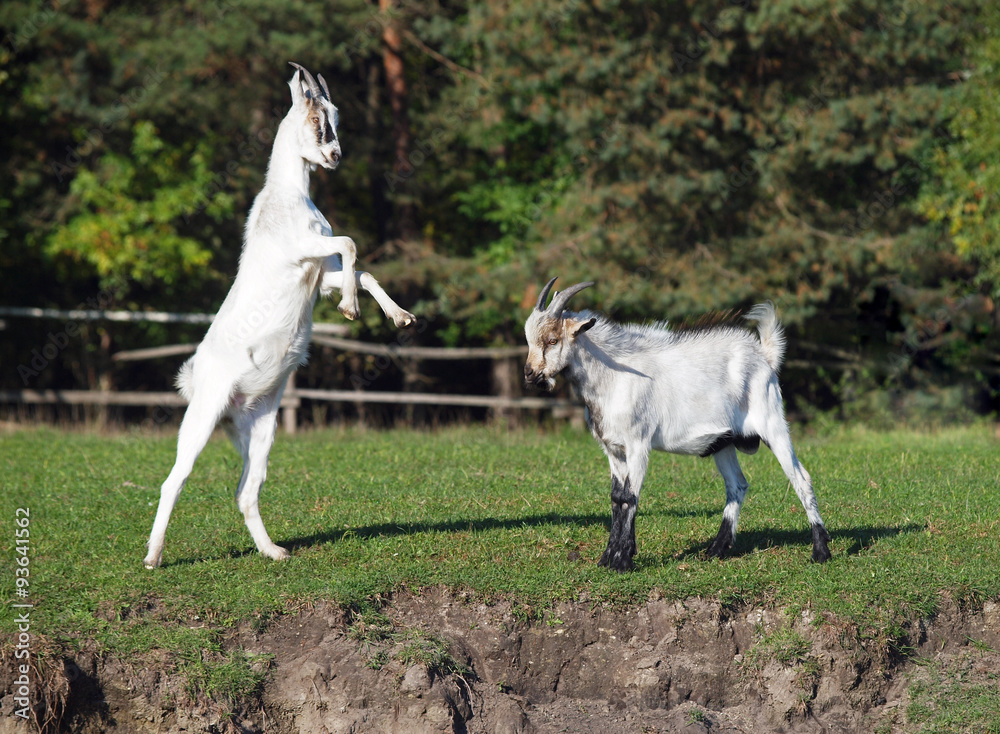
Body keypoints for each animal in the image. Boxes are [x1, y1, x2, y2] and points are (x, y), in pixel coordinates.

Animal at [143, 63, 415, 569]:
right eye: (317, 120)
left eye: (336, 118)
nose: (335, 156)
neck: (288, 196)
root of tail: (195, 378)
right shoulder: (301, 251)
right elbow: (350, 244)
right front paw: (350, 309)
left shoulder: (318, 272)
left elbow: (361, 270)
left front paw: (399, 316)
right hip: (203, 415)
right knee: (174, 480)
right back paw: (153, 558)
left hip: (259, 426)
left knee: (246, 490)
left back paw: (274, 551)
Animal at [523, 278, 831, 572]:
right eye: (529, 340)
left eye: (552, 340)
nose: (529, 373)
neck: (613, 376)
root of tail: (764, 355)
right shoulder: (613, 449)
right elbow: (616, 498)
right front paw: (608, 557)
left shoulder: (638, 445)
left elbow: (630, 497)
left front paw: (622, 561)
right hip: (723, 442)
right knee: (737, 485)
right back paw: (716, 549)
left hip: (773, 424)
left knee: (801, 479)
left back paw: (820, 551)